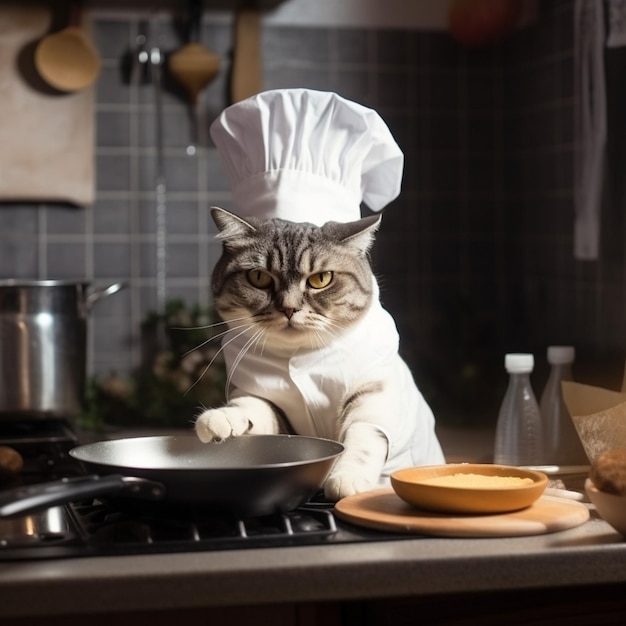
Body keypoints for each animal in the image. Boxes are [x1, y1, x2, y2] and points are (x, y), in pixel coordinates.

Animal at [195, 207, 444, 500]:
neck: (302, 355)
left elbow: (364, 435)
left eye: (320, 279)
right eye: (259, 277)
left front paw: (347, 478)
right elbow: (252, 408)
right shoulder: (271, 405)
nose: (289, 308)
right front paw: (220, 418)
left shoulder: (374, 393)